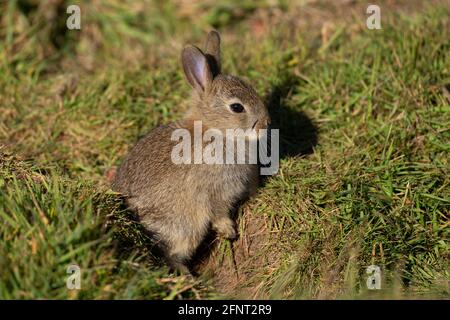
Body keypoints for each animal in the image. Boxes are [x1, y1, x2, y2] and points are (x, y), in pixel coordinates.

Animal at [114, 31, 270, 272]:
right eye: (237, 107)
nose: (266, 123)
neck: (215, 129)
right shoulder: (213, 192)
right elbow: (218, 213)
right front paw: (229, 231)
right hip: (182, 227)